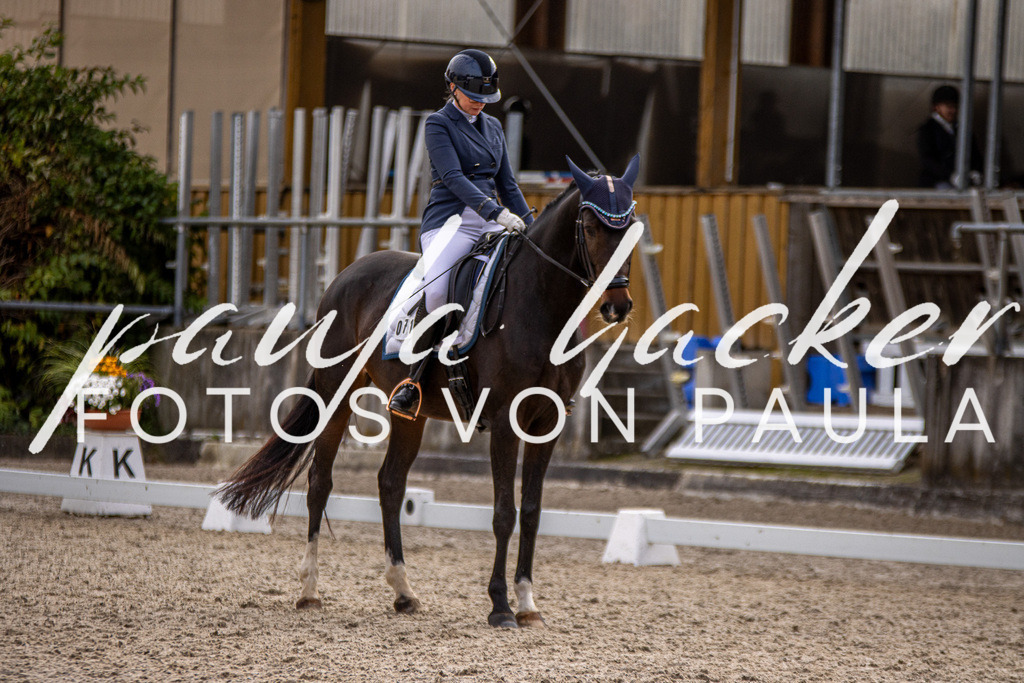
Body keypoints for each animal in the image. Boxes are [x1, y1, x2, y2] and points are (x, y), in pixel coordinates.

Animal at [218, 155, 641, 628]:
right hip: (336, 394)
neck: (540, 304)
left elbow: (531, 512)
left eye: (630, 227)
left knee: (390, 483)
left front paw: (528, 603)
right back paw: (309, 590)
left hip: (410, 413)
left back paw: (404, 592)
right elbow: (504, 513)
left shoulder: (547, 423)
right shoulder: (505, 423)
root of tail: (346, 275)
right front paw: (500, 606)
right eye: (590, 228)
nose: (618, 307)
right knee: (319, 482)